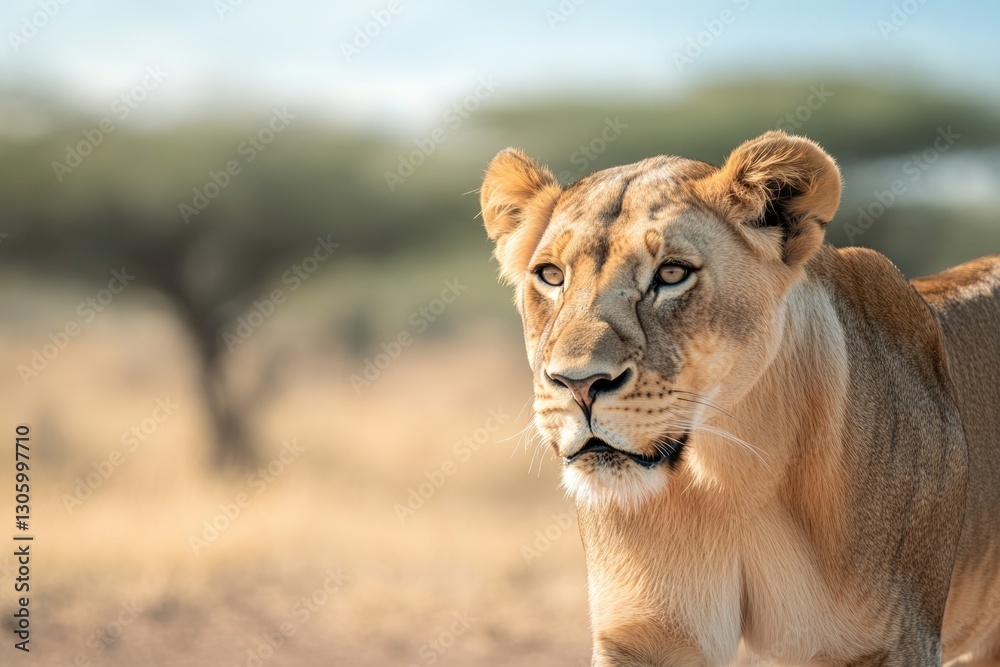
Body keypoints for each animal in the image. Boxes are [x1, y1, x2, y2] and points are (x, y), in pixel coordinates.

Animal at [480, 131, 1000, 666]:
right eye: (551, 276)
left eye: (671, 274)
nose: (578, 384)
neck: (731, 473)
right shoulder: (646, 637)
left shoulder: (895, 639)